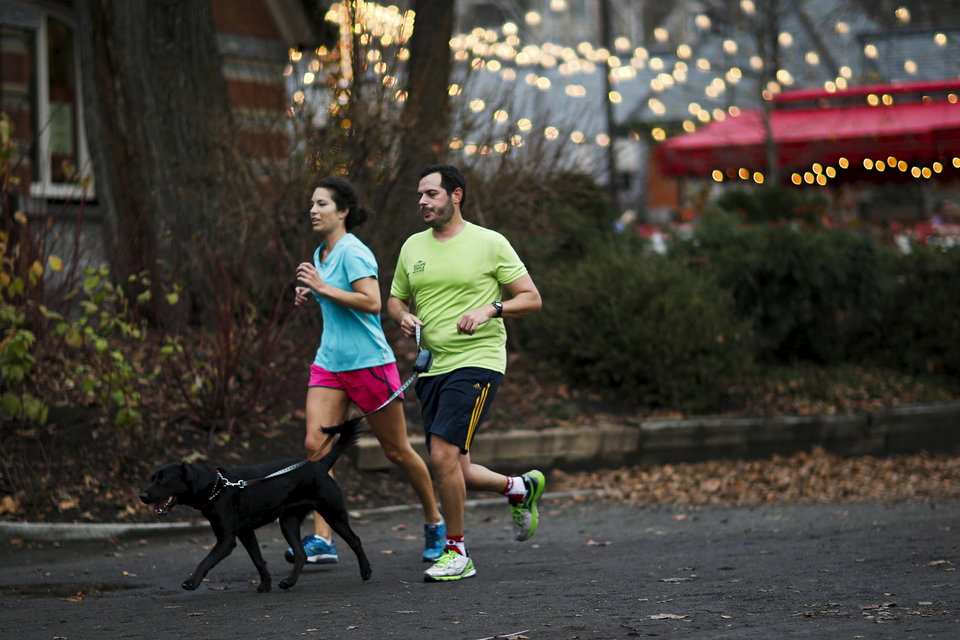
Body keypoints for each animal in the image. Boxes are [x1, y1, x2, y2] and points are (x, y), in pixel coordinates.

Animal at [139, 418, 372, 592]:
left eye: (163, 480)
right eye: (152, 478)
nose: (142, 495)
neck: (217, 487)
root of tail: (320, 465)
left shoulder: (226, 540)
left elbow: (205, 561)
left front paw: (191, 582)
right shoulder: (246, 532)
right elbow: (258, 559)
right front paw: (265, 584)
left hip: (332, 513)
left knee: (356, 540)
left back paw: (366, 572)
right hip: (288, 521)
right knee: (301, 554)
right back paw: (289, 582)